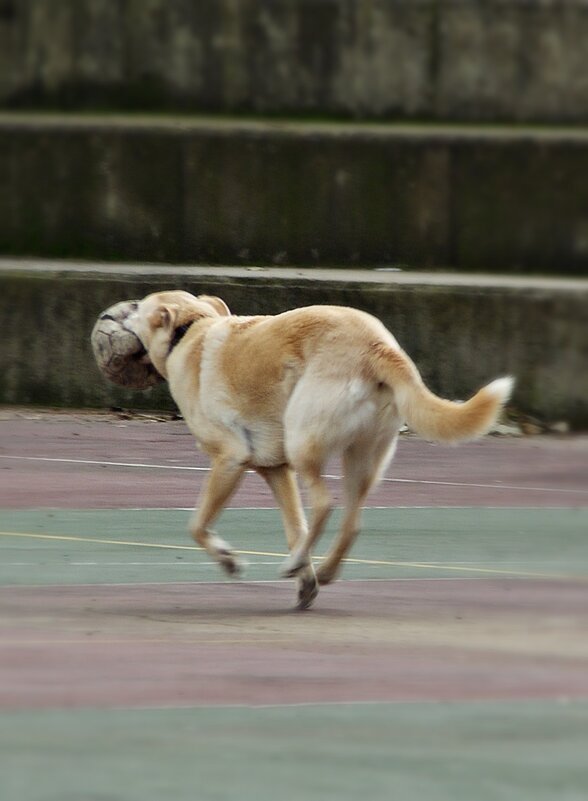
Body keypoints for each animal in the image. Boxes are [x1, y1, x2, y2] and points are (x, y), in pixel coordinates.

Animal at [127, 290, 510, 608]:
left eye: (134, 307)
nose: (118, 312)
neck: (191, 329)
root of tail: (378, 346)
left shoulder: (230, 458)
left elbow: (198, 524)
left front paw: (230, 561)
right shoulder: (275, 469)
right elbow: (295, 528)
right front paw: (306, 581)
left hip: (303, 441)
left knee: (325, 504)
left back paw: (297, 563)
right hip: (361, 455)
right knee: (351, 522)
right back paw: (319, 570)